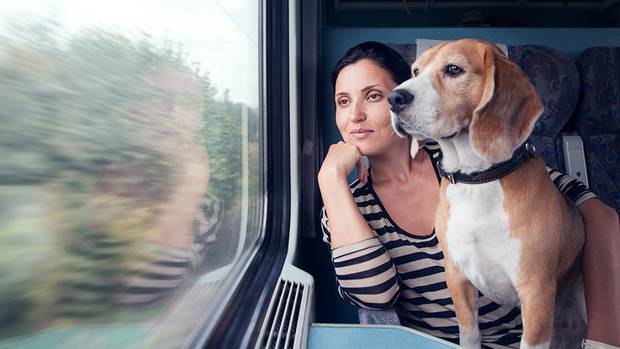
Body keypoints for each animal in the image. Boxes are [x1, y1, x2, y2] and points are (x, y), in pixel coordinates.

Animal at [390, 38, 584, 348]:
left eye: (454, 69)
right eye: (416, 70)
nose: (394, 98)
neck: (477, 181)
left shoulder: (536, 292)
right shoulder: (457, 279)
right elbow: (469, 334)